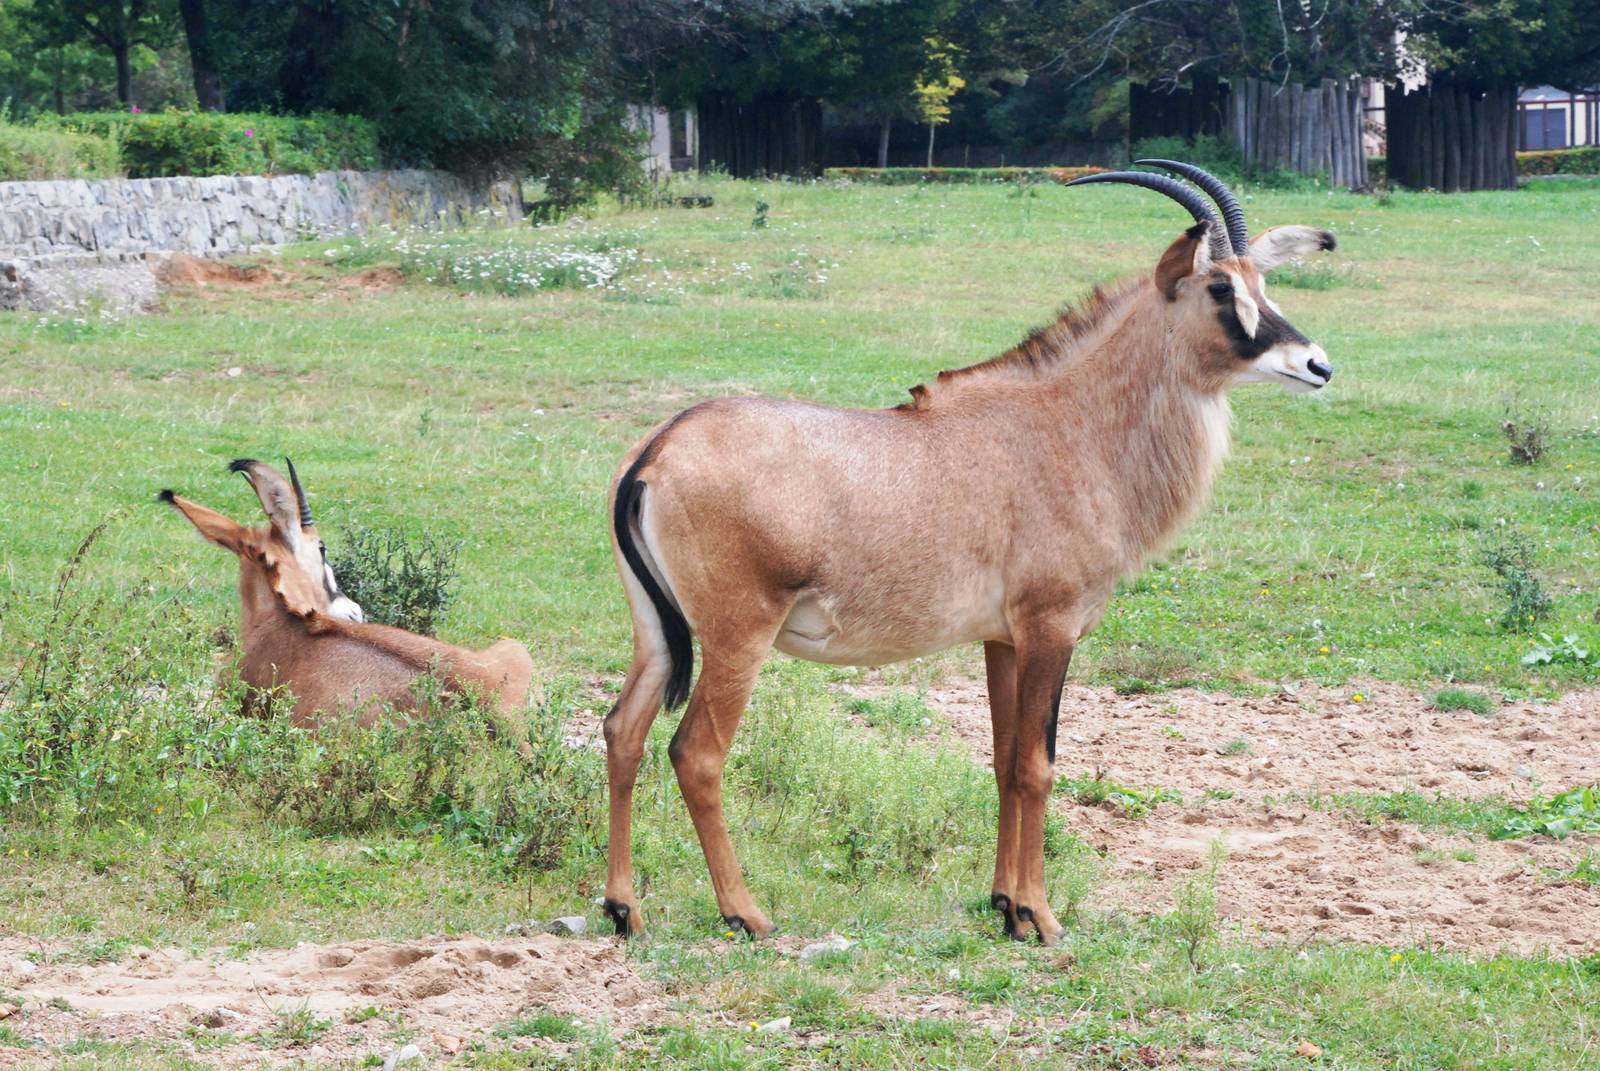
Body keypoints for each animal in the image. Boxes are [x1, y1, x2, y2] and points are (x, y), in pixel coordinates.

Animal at [601, 160, 1337, 945]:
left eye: (1263, 282)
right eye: (1221, 288)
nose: (1317, 364)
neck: (1069, 425)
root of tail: (658, 450)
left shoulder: (1002, 639)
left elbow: (1005, 759)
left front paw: (1005, 905)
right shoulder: (1050, 627)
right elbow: (1040, 764)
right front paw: (1042, 916)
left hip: (656, 632)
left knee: (623, 731)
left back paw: (623, 907)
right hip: (739, 635)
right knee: (697, 753)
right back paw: (745, 911)